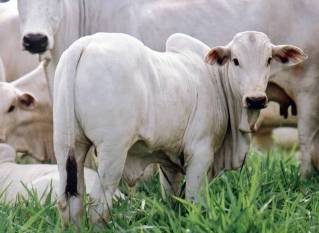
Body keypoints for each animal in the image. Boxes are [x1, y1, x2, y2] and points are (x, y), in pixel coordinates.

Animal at [53, 31, 308, 225]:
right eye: (236, 60)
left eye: (269, 59)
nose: (255, 99)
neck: (216, 81)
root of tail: (84, 45)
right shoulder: (200, 153)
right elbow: (195, 201)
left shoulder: (169, 160)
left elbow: (173, 199)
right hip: (112, 151)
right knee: (97, 205)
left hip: (68, 147)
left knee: (70, 201)